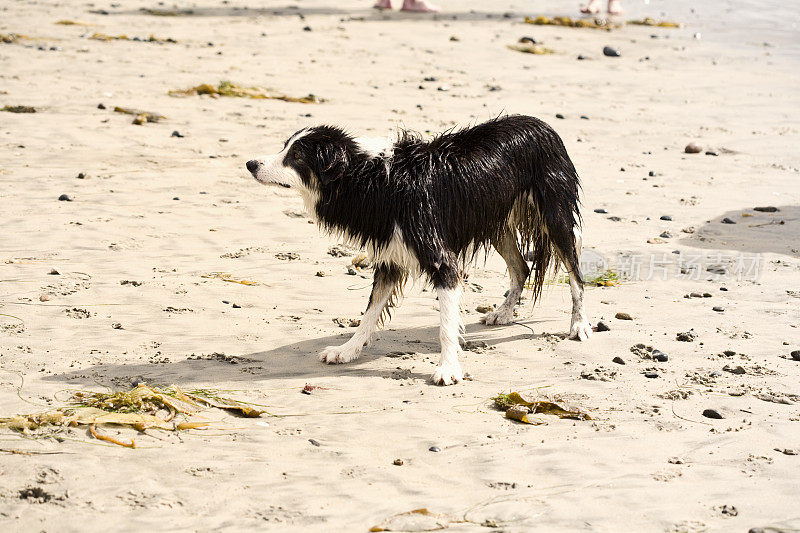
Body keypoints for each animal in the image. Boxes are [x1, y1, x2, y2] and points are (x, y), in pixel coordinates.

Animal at [247, 115, 592, 382]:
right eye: (284, 147)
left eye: (295, 156)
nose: (250, 163)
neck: (371, 179)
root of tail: (542, 124)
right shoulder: (390, 257)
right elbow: (369, 313)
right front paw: (347, 350)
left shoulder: (441, 259)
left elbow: (445, 326)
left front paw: (448, 369)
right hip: (494, 219)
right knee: (521, 266)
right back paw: (503, 313)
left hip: (554, 213)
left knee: (575, 272)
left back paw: (579, 325)